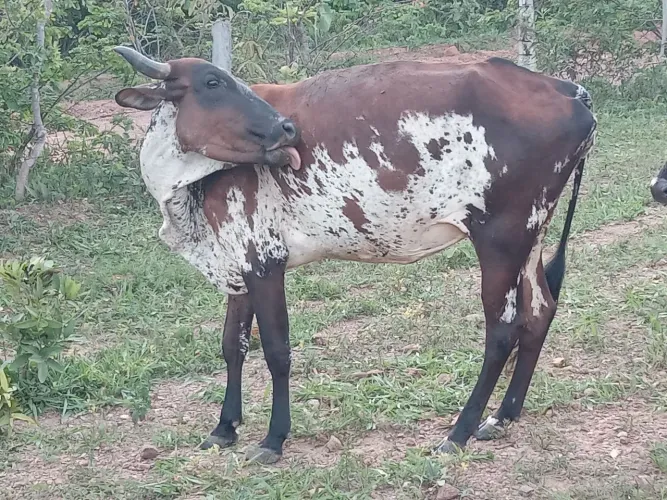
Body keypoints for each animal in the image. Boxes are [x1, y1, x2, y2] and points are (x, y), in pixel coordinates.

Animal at [113, 46, 597, 464]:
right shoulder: (238, 262)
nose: (288, 130)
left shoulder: (265, 262)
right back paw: (503, 415)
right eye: (213, 82)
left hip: (500, 239)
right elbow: (233, 346)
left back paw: (460, 430)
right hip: (532, 234)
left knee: (502, 329)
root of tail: (568, 89)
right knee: (540, 311)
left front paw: (273, 438)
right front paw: (224, 428)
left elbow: (276, 350)